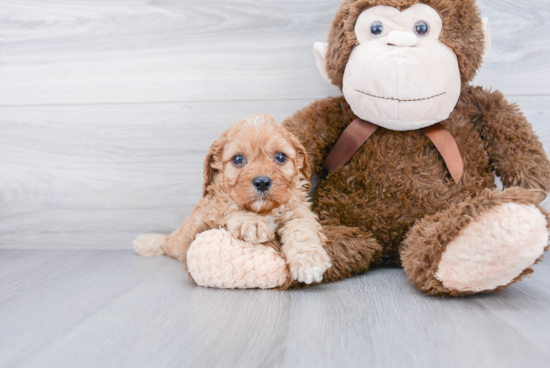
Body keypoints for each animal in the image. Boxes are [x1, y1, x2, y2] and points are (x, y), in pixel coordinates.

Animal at [135, 113, 332, 284]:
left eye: (280, 156)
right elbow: (227, 206)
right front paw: (252, 222)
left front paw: (308, 261)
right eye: (238, 159)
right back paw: (147, 242)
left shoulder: (299, 209)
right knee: (167, 242)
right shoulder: (211, 208)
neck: (263, 210)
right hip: (182, 237)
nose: (262, 182)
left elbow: (300, 228)